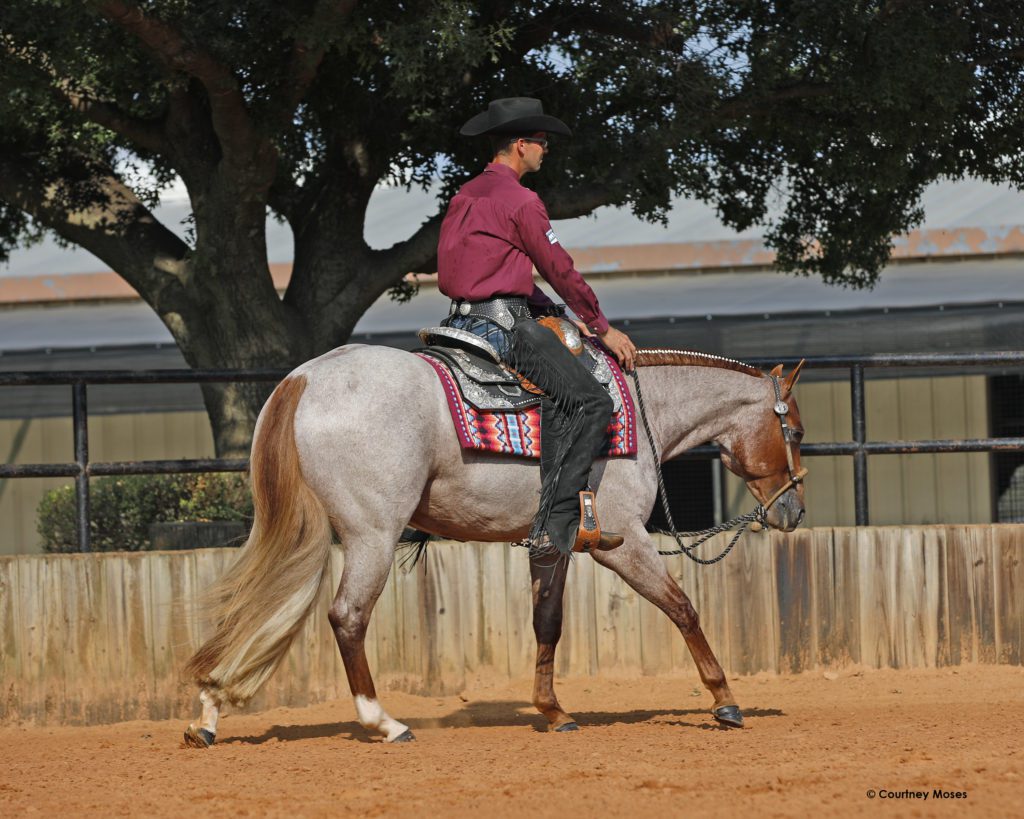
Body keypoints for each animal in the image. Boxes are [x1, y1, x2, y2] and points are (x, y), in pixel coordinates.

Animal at [182, 344, 806, 746]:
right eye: (795, 431)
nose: (795, 511)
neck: (638, 413)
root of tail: (306, 377)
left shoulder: (552, 545)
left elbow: (548, 625)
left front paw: (554, 711)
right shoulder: (623, 544)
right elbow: (682, 608)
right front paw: (725, 700)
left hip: (297, 530)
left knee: (257, 609)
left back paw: (208, 716)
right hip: (369, 536)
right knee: (347, 616)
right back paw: (385, 723)